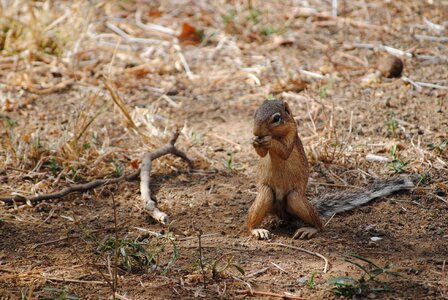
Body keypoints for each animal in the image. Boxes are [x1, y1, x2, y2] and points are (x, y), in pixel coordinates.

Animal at [248, 99, 412, 240]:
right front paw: (254, 141)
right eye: (255, 113)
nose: (256, 132)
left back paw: (309, 229)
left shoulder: (292, 135)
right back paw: (258, 230)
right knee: (249, 222)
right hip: (265, 195)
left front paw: (268, 140)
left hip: (295, 198)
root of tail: (283, 213)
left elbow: (284, 151)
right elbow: (262, 154)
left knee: (320, 225)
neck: (276, 134)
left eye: (276, 118)